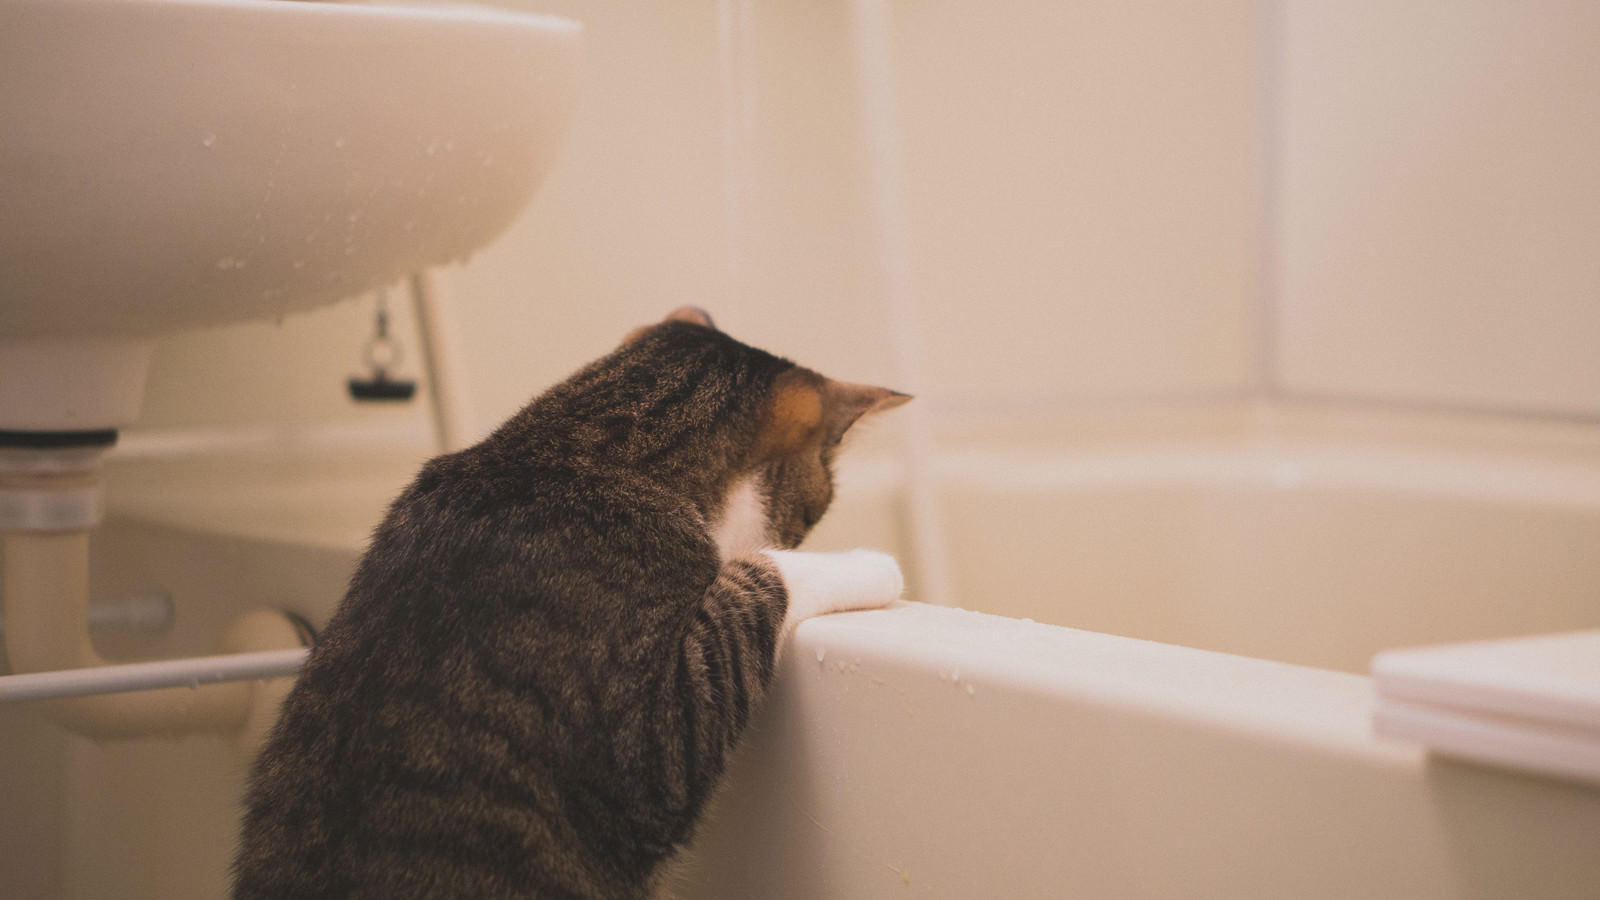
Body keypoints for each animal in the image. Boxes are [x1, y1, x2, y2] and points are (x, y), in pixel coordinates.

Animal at [235, 304, 915, 890]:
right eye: (814, 516)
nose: (812, 533)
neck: (571, 450)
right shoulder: (655, 739)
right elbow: (757, 583)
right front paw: (872, 563)